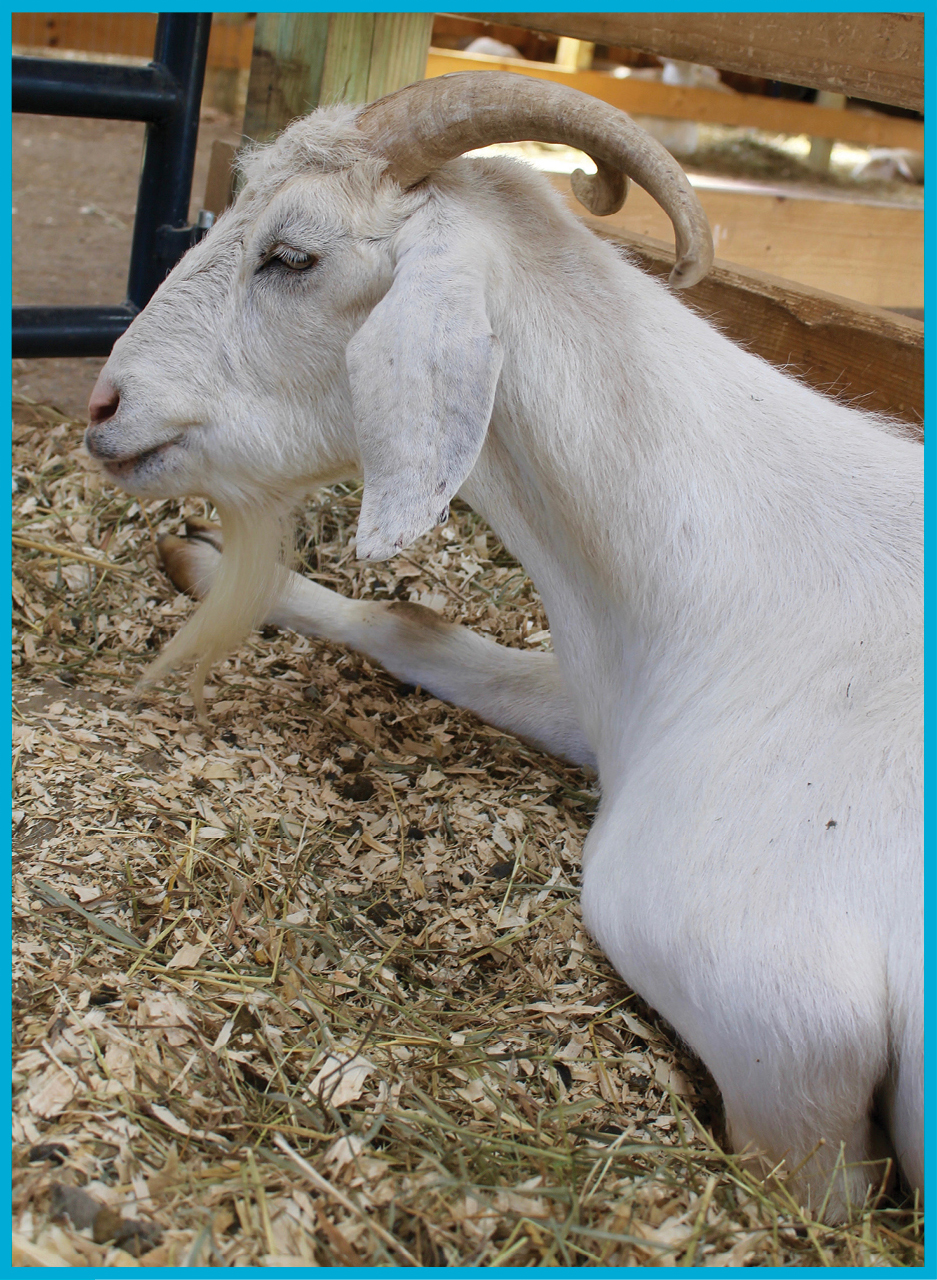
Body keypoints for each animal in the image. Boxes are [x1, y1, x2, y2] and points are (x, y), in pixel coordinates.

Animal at [84, 72, 916, 1218]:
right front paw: (203, 562)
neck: (752, 573)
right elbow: (417, 626)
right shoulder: (607, 700)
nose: (103, 405)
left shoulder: (786, 1023)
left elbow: (816, 1190)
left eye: (290, 255)